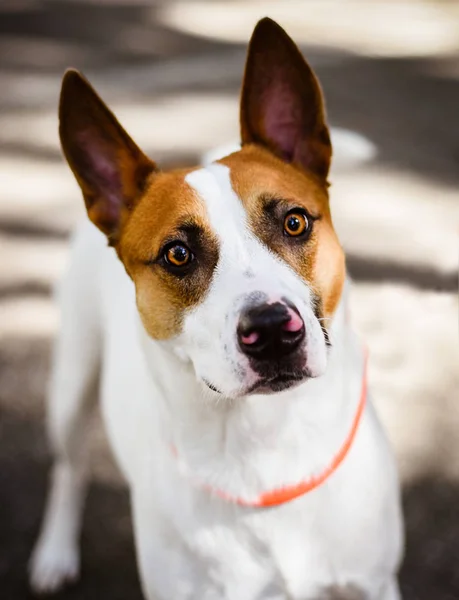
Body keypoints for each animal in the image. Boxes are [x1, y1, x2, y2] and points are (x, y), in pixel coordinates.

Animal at [28, 16, 404, 600]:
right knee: (69, 467)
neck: (266, 445)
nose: (273, 331)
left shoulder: (374, 582)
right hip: (72, 380)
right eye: (177, 254)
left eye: (295, 221)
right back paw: (54, 553)